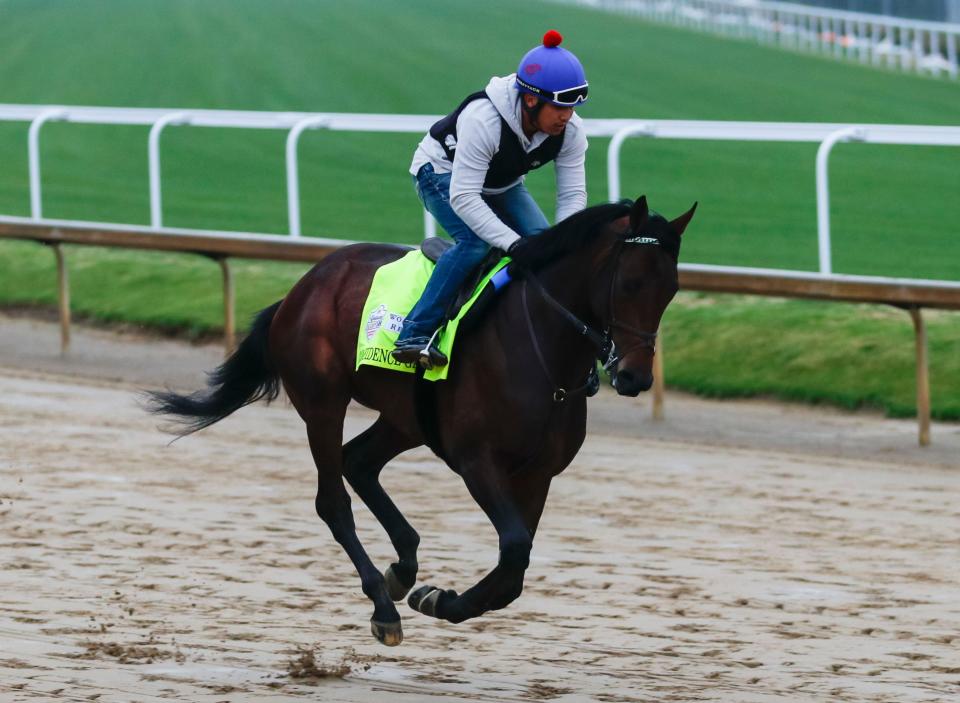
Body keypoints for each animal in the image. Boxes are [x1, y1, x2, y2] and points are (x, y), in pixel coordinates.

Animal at [146, 195, 692, 648]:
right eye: (631, 282)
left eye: (672, 289)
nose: (634, 376)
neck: (544, 355)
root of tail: (304, 286)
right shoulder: (477, 461)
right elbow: (515, 550)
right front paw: (438, 599)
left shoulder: (538, 474)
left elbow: (514, 571)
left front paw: (435, 595)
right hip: (323, 401)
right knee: (333, 500)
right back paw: (383, 604)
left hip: (405, 417)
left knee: (358, 461)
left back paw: (402, 569)